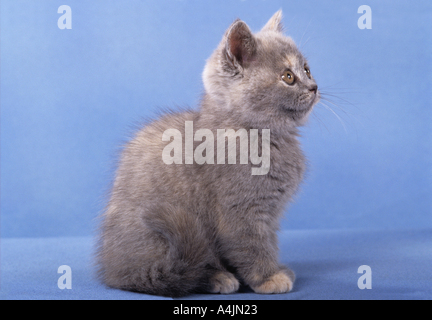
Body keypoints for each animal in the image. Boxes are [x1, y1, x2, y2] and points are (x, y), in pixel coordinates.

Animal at [98, 10, 320, 296]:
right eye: (288, 77)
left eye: (307, 69)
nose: (314, 86)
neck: (265, 137)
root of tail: (112, 270)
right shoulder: (240, 211)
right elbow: (252, 244)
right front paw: (268, 278)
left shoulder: (270, 214)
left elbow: (268, 241)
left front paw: (275, 270)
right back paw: (217, 278)